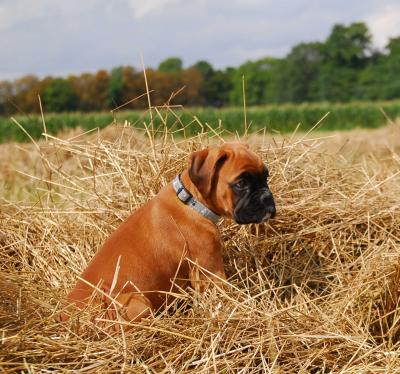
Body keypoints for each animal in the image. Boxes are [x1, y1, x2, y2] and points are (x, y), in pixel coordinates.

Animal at [61, 143, 276, 328]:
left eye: (266, 177)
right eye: (241, 183)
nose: (267, 197)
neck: (191, 201)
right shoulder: (211, 273)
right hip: (138, 302)